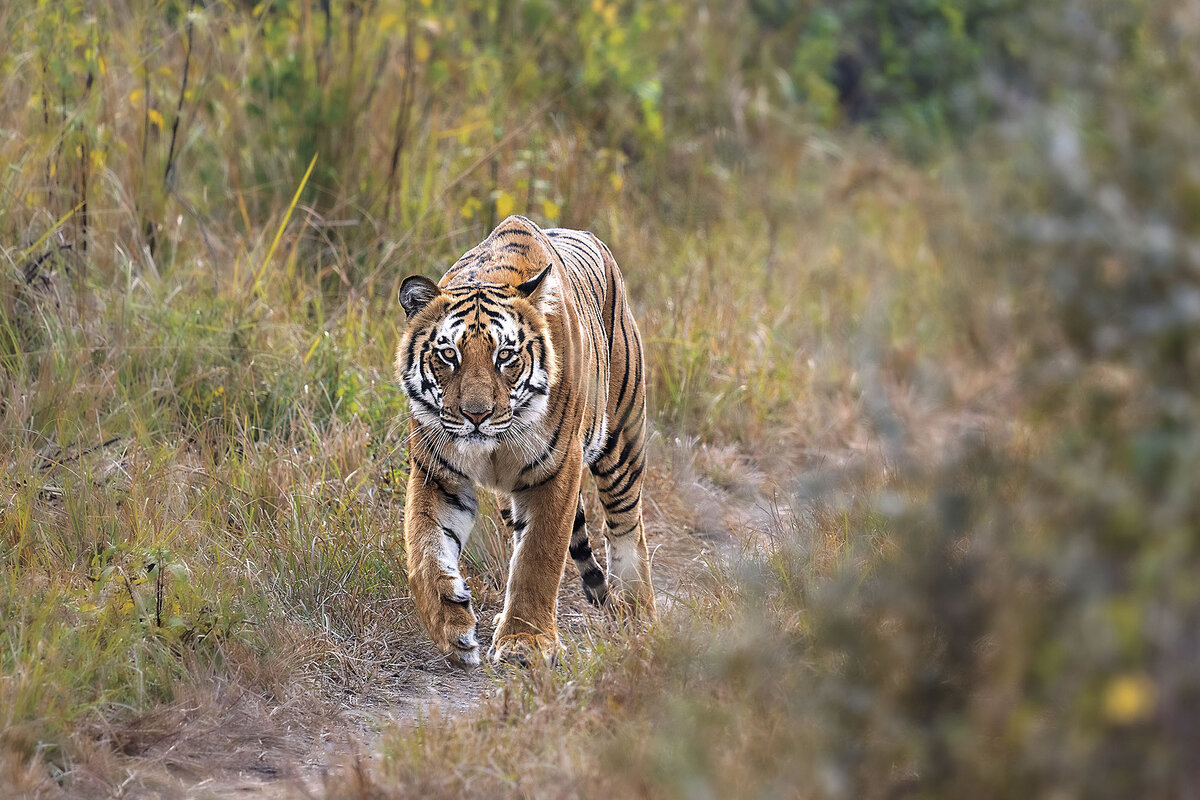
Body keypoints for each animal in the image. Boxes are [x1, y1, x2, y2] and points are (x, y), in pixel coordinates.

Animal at [394, 215, 656, 666]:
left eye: (505, 356)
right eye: (448, 355)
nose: (476, 415)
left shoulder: (558, 469)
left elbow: (539, 556)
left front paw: (526, 642)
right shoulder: (438, 474)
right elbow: (424, 550)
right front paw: (452, 628)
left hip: (622, 442)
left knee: (627, 527)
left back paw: (639, 615)